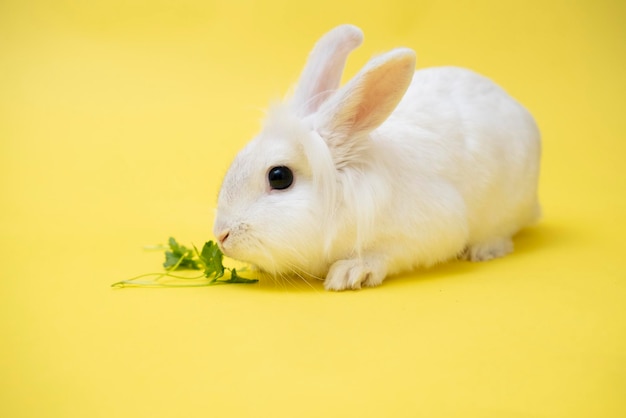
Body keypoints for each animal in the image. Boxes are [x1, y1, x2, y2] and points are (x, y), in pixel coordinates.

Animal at [212, 22, 540, 290]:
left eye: (279, 177)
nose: (221, 235)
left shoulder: (429, 230)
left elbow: (386, 253)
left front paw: (349, 273)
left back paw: (484, 250)